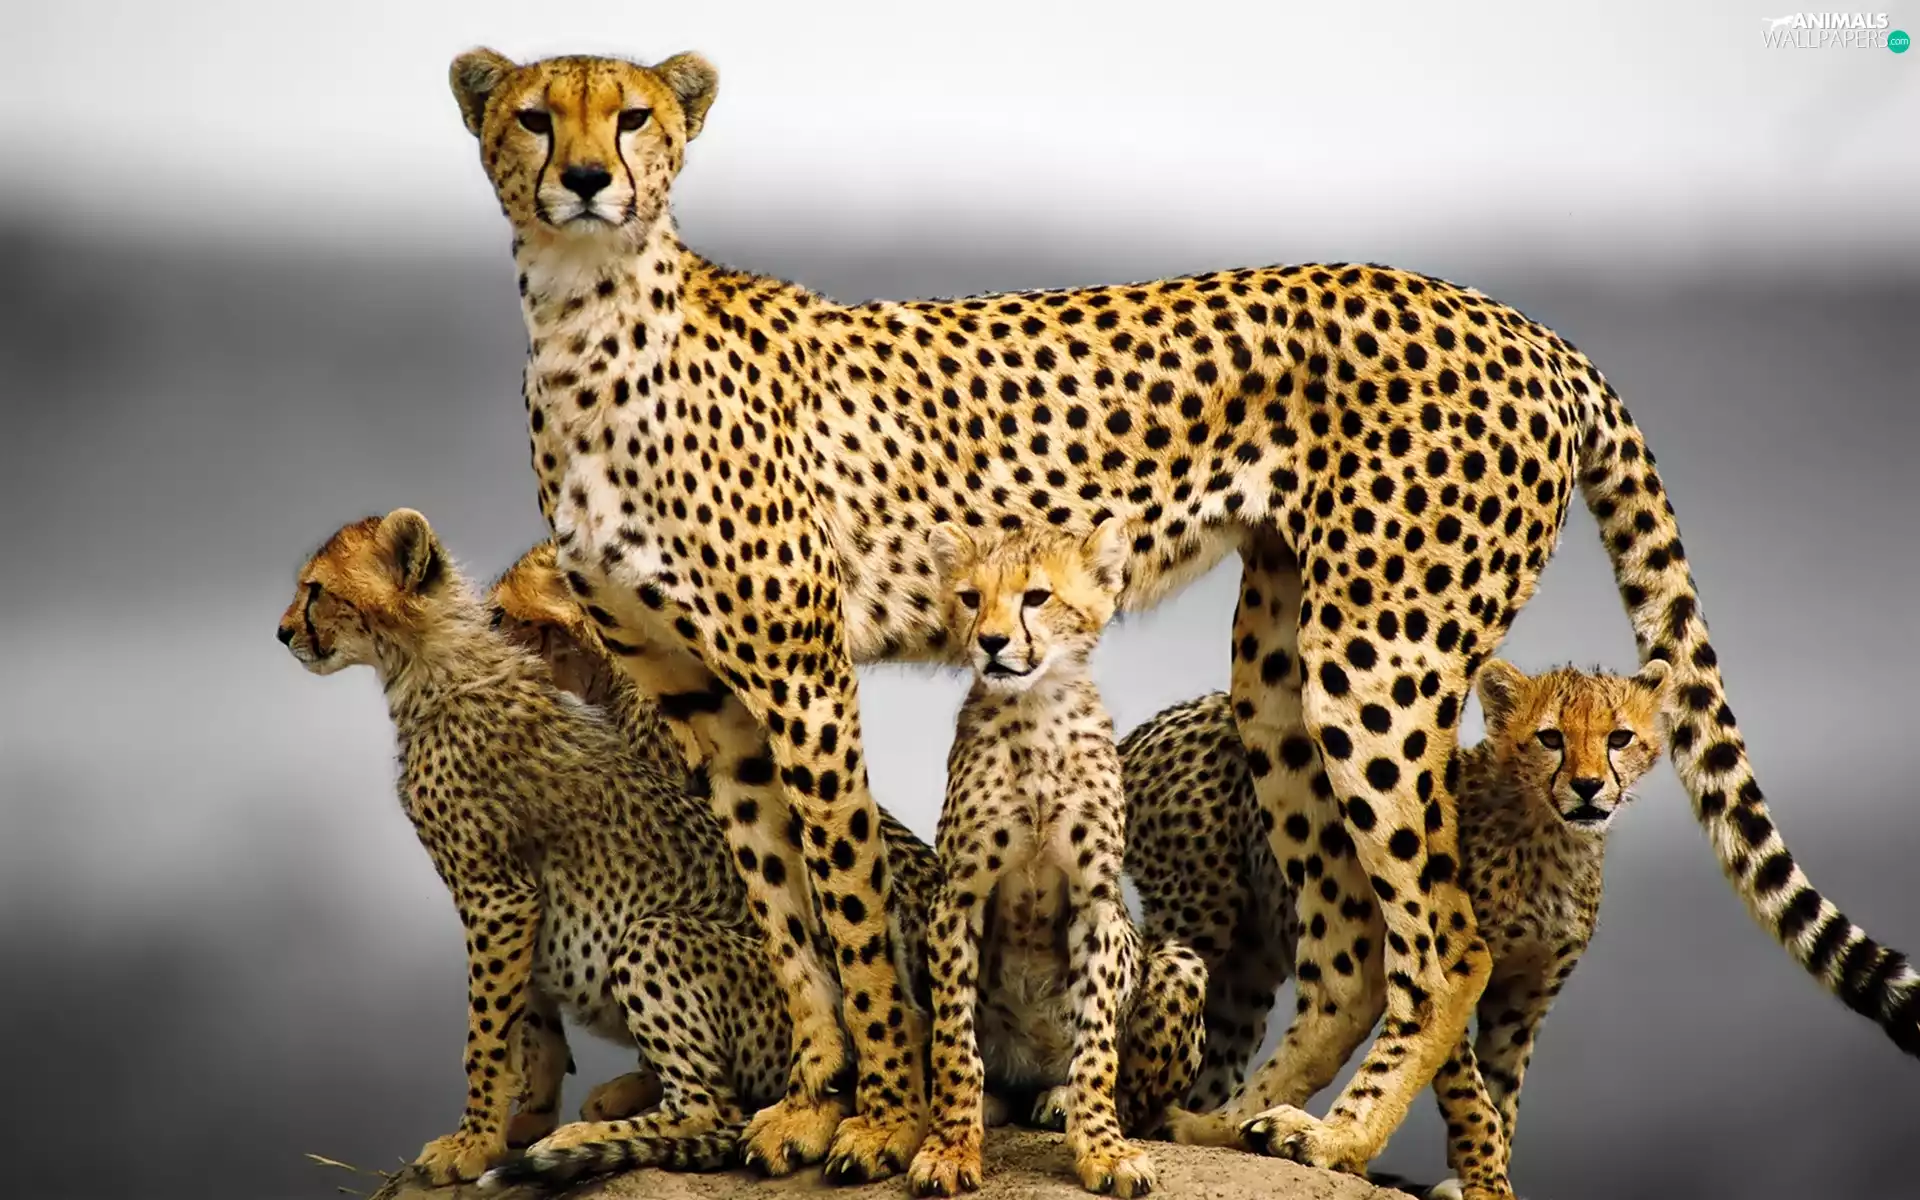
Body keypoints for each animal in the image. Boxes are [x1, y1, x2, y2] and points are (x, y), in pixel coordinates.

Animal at [277, 510, 790, 1189]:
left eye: (316, 590)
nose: (282, 633)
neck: (433, 664)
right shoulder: (522, 905)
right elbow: (529, 1023)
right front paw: (520, 1122)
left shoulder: (497, 897)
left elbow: (485, 1032)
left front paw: (472, 1143)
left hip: (657, 937)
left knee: (712, 1107)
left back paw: (583, 1139)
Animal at [910, 520, 1207, 1199]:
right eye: (970, 598)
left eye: (1037, 597)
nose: (991, 642)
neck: (1035, 711)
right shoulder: (957, 894)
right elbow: (955, 1041)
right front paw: (950, 1147)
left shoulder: (1097, 902)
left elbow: (1097, 1047)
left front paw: (1103, 1149)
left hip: (1180, 963)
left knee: (1138, 1098)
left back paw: (1062, 1100)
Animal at [1126, 659, 1673, 1200]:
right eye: (1551, 737)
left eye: (1619, 737)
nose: (1588, 786)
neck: (1550, 835)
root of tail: (1166, 718)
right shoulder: (1447, 964)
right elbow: (1471, 1096)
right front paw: (1484, 1177)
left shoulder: (1524, 1002)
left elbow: (1503, 1095)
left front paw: (1484, 1176)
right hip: (1202, 915)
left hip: (1249, 968)